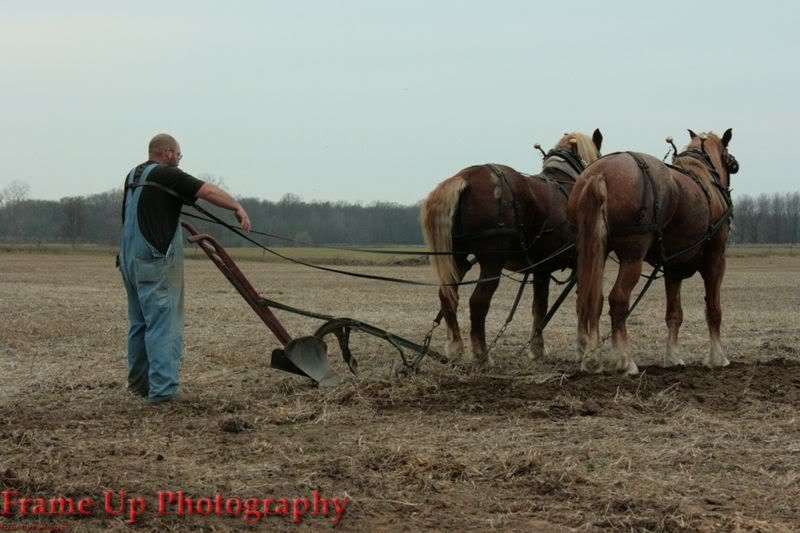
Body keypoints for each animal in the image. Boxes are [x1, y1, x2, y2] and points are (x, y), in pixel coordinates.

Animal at [424, 131, 600, 368]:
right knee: (478, 302)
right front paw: (583, 348)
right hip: (492, 262)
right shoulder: (580, 264)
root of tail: (465, 178)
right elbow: (582, 303)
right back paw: (482, 355)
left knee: (448, 295)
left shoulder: (542, 269)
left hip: (457, 257)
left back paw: (455, 348)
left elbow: (539, 307)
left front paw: (537, 350)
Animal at [564, 128, 740, 374]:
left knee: (593, 300)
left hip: (593, 251)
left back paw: (593, 358)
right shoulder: (715, 261)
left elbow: (674, 314)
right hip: (632, 257)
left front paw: (673, 357)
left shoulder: (674, 269)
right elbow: (714, 310)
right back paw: (625, 361)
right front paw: (717, 358)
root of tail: (600, 173)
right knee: (618, 300)